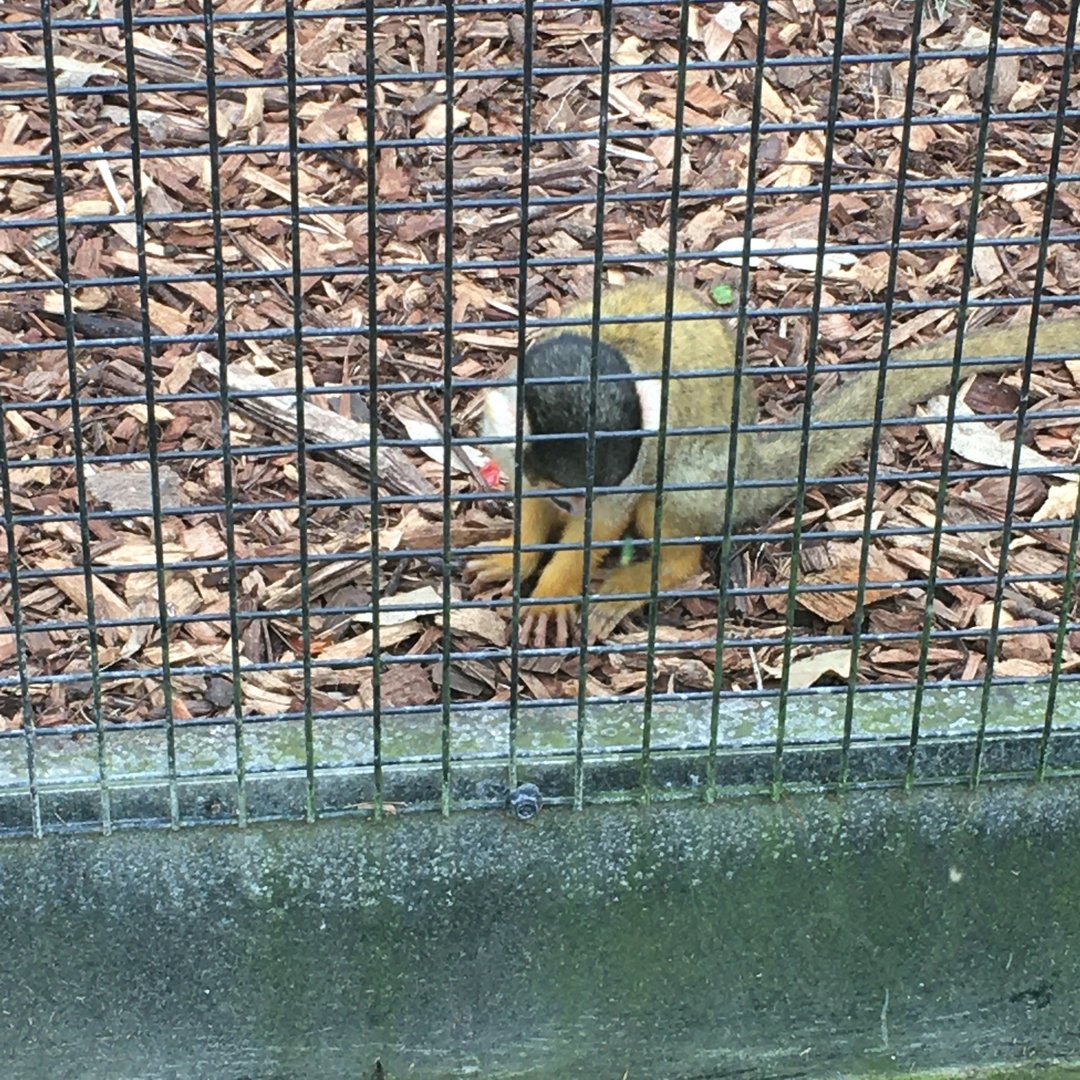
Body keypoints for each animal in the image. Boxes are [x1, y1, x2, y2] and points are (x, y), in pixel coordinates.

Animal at [465, 279, 1077, 645]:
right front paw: (520, 554)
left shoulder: (625, 471)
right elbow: (527, 491)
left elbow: (609, 518)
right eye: (564, 492)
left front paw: (553, 592)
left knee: (677, 488)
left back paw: (658, 573)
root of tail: (751, 456)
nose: (571, 504)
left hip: (711, 470)